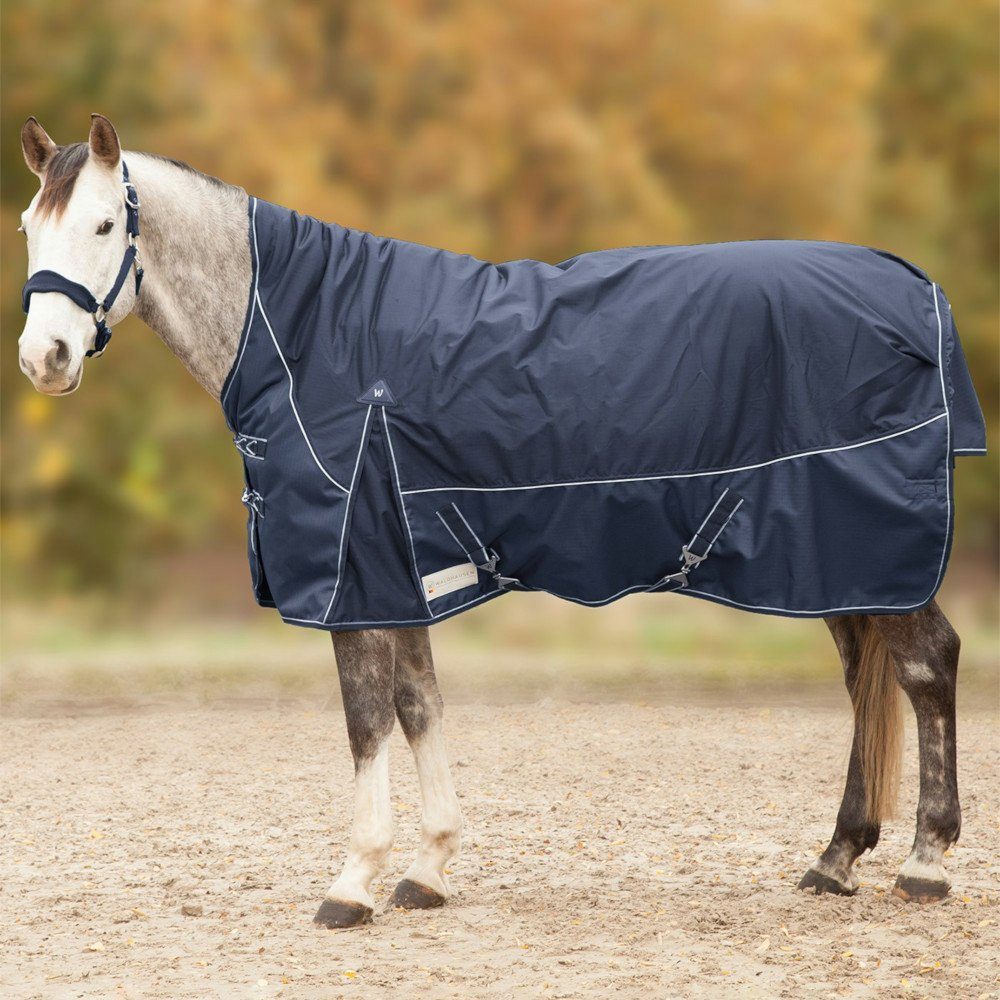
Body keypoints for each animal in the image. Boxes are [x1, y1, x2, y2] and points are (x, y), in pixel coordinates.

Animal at [17, 114, 969, 928]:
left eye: (104, 226)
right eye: (29, 227)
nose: (44, 359)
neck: (314, 338)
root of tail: (913, 284)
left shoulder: (356, 571)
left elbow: (368, 719)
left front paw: (352, 884)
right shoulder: (400, 568)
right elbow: (419, 705)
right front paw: (428, 869)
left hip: (869, 546)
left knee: (927, 665)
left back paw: (924, 862)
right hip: (839, 559)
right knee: (864, 679)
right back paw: (837, 858)